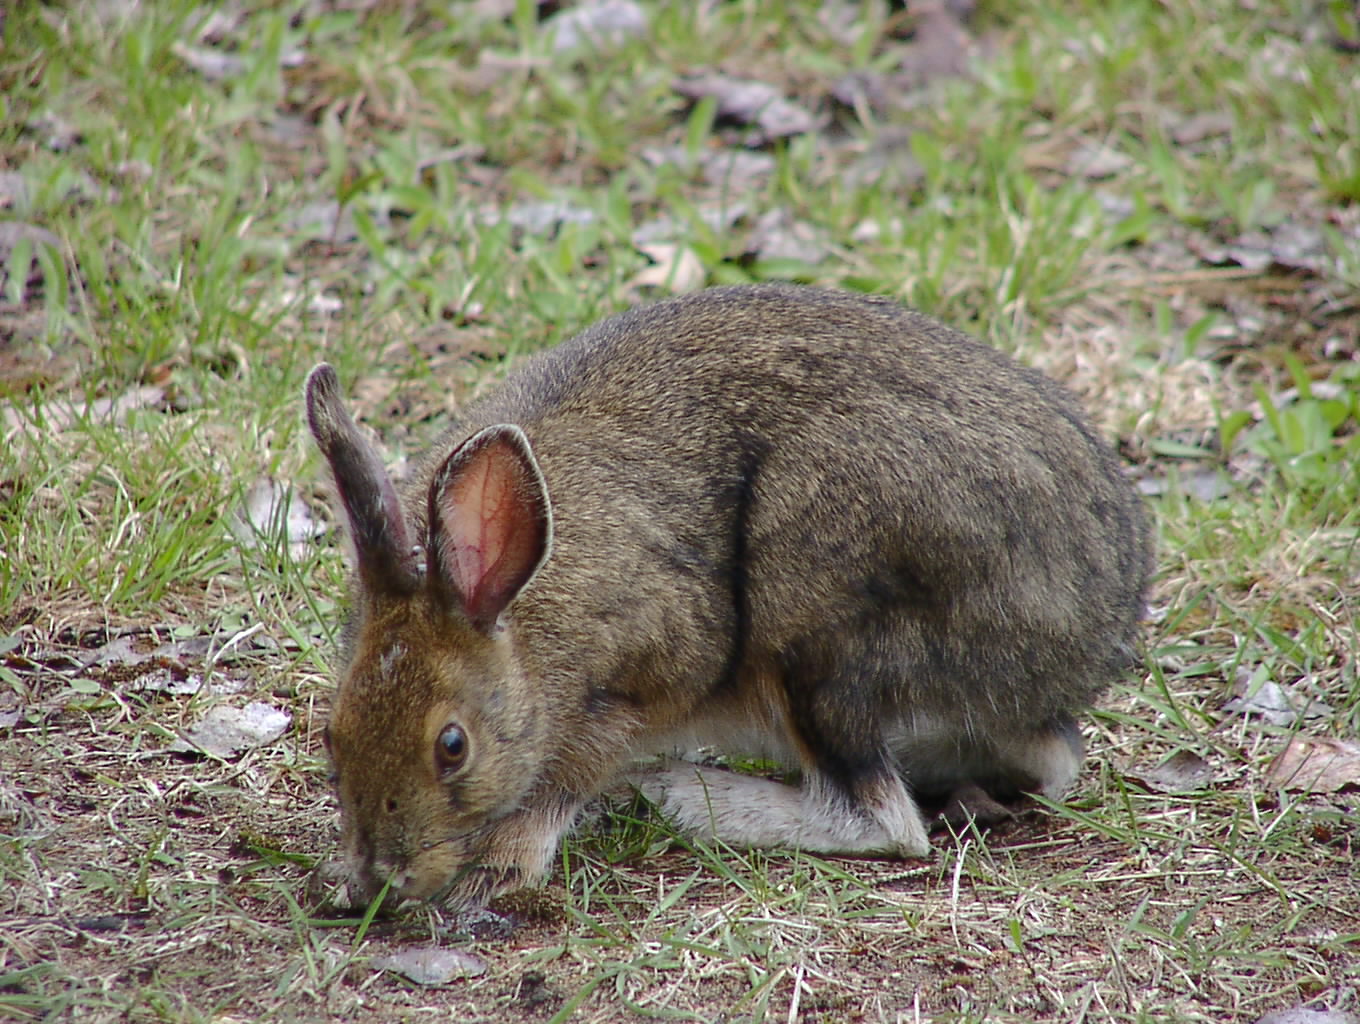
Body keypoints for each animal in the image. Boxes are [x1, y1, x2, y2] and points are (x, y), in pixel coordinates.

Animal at [304, 283, 1151, 911]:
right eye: (332, 737)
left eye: (452, 747)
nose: (381, 881)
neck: (519, 633)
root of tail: (1088, 644)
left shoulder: (637, 684)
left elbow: (565, 781)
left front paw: (497, 868)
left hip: (816, 636)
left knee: (882, 818)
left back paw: (686, 795)